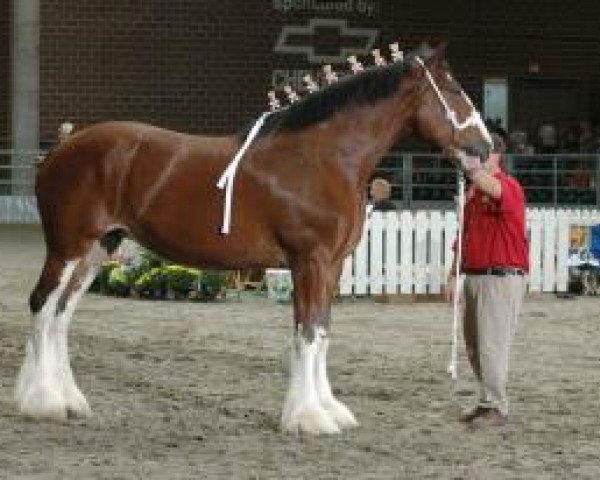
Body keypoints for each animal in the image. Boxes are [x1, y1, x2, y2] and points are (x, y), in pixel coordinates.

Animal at [16, 45, 490, 436]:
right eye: (455, 90)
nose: (486, 147)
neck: (322, 158)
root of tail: (59, 150)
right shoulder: (309, 261)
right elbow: (307, 332)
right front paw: (308, 418)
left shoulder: (332, 265)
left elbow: (322, 330)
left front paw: (328, 410)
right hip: (68, 247)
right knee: (42, 305)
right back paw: (42, 403)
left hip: (100, 248)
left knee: (61, 314)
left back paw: (69, 401)